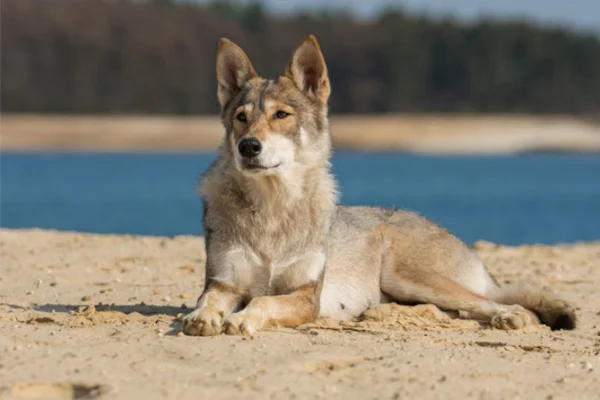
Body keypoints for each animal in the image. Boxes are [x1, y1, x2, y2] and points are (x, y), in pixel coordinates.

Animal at [180, 34, 576, 336]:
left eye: (281, 115)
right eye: (241, 118)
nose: (248, 147)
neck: (272, 210)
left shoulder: (306, 296)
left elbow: (263, 301)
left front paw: (240, 319)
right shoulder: (223, 282)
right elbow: (209, 301)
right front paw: (202, 317)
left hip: (406, 277)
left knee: (494, 304)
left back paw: (511, 316)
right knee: (448, 311)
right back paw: (378, 314)